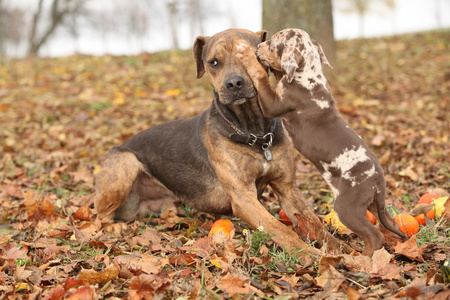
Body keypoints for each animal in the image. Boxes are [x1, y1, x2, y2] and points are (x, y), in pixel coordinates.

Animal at [94, 28, 348, 258]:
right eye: (213, 62)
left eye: (252, 56)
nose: (234, 84)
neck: (253, 132)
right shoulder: (243, 198)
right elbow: (279, 229)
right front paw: (308, 255)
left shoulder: (287, 188)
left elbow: (315, 223)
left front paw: (345, 251)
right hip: (125, 163)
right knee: (100, 217)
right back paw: (113, 226)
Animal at [236, 28, 408, 254]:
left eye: (272, 42)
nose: (257, 47)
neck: (308, 75)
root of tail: (378, 180)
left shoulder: (273, 103)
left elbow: (260, 76)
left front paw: (246, 53)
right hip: (371, 205)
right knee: (390, 223)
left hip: (347, 208)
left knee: (374, 235)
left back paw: (364, 259)